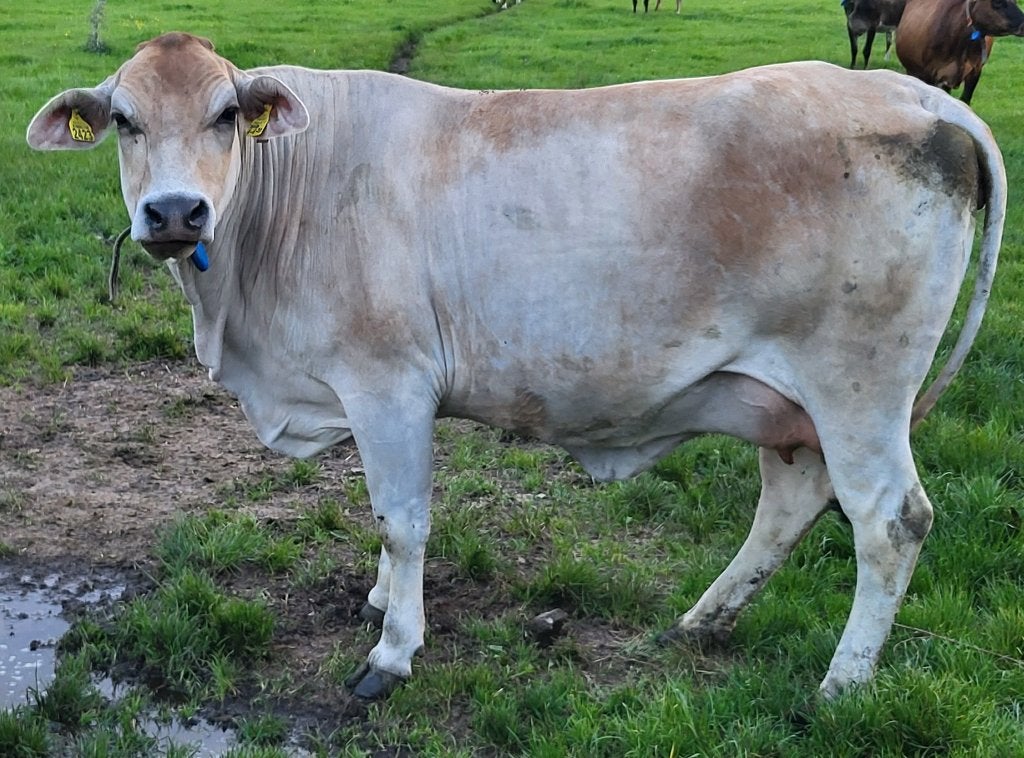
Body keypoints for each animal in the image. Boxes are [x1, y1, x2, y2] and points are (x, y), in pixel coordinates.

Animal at [27, 33, 1005, 702]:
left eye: (227, 114)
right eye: (124, 121)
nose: (174, 211)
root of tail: (920, 96)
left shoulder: (388, 384)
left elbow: (402, 520)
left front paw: (391, 653)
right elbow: (381, 514)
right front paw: (380, 602)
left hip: (859, 388)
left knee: (891, 523)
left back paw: (842, 683)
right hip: (784, 402)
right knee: (792, 501)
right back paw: (702, 621)